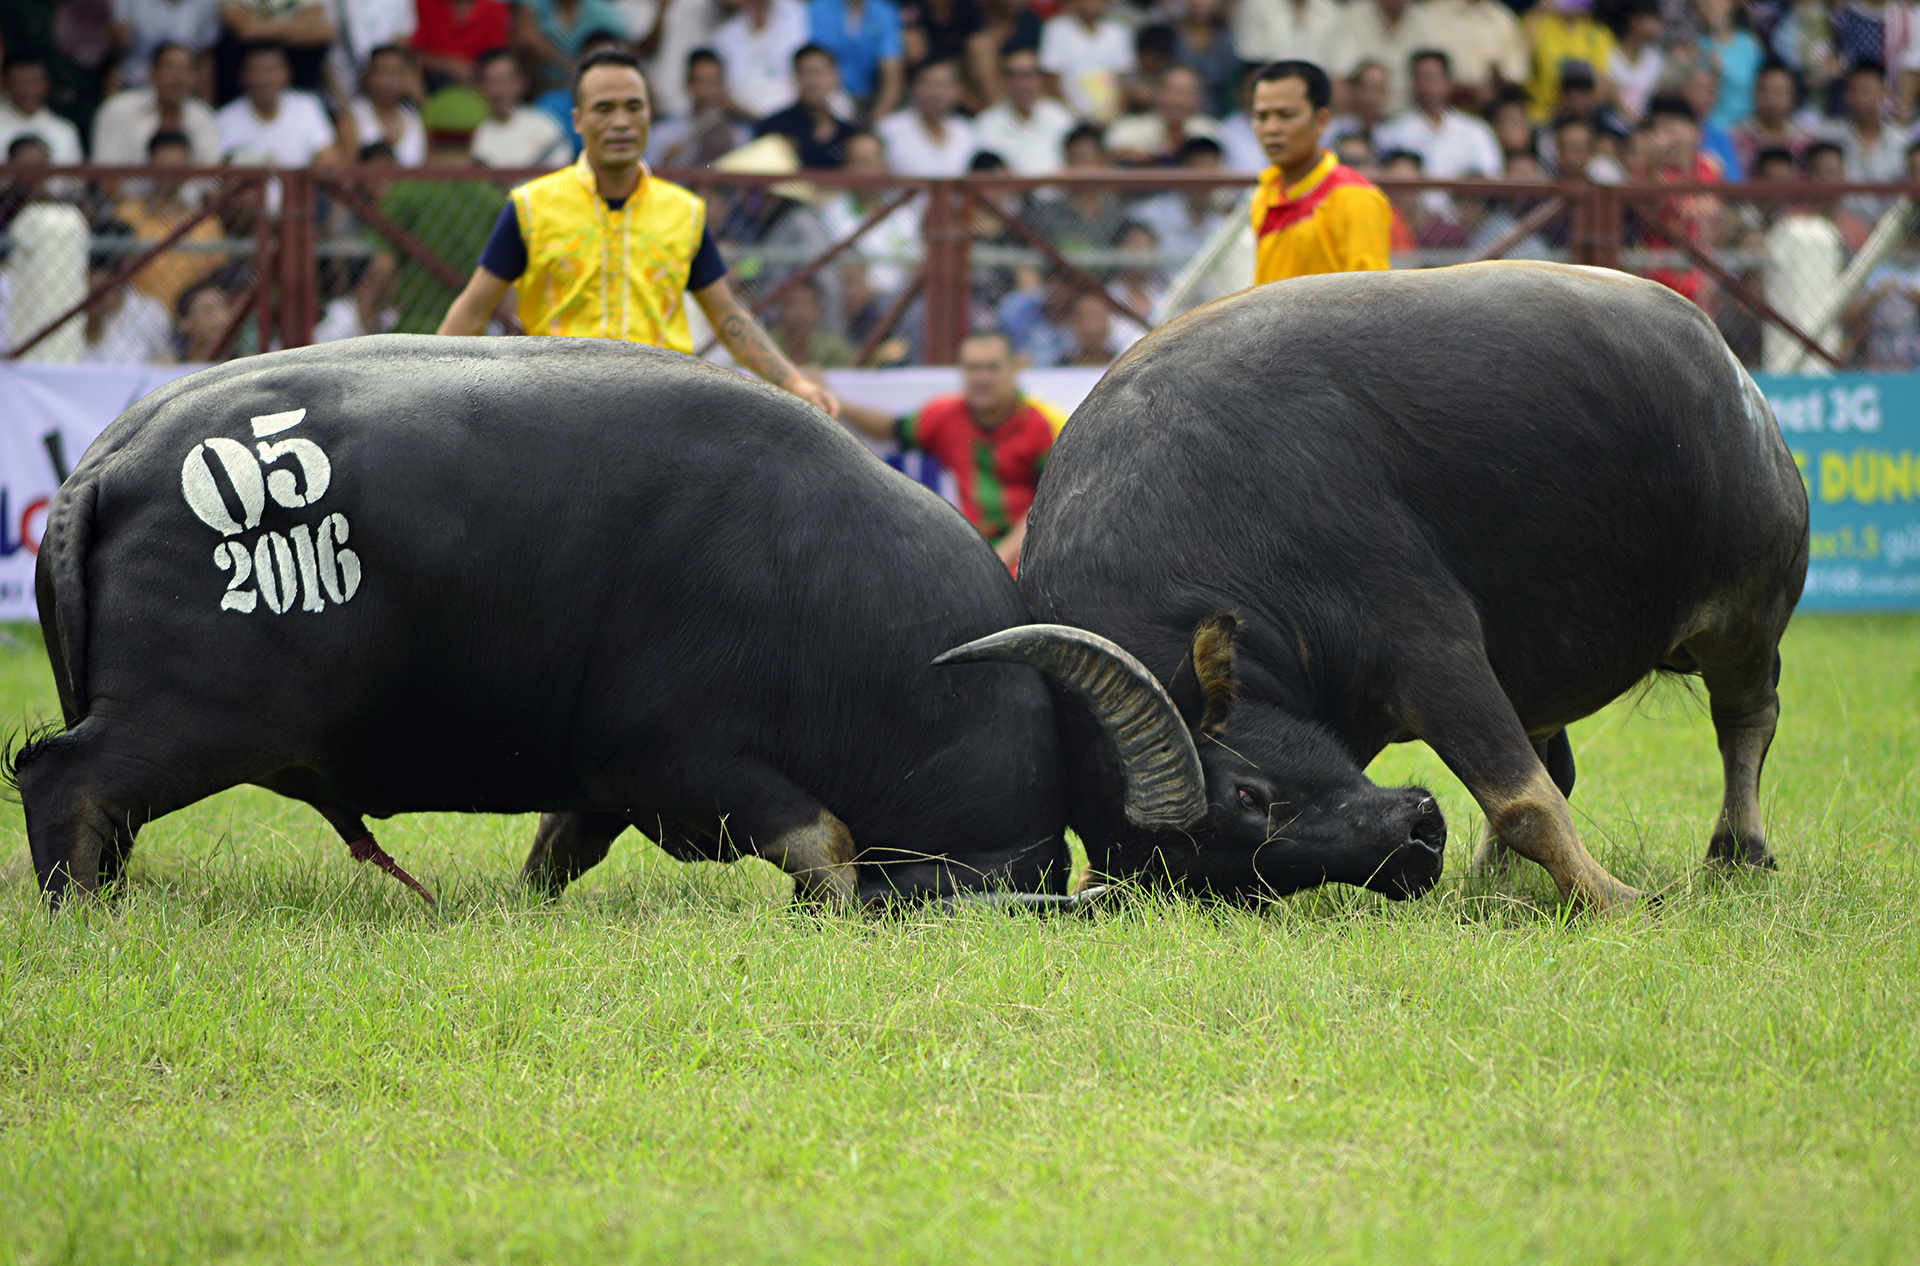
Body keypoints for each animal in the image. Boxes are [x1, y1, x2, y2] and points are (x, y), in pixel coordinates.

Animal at [7, 336, 1075, 910]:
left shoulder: (603, 778)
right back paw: (82, 918)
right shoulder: (682, 757)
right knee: (64, 779)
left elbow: (556, 852)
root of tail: (111, 459)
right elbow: (827, 841)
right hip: (192, 719)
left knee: (102, 813)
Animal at [944, 259, 1812, 910]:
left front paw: (1615, 899)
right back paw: (1489, 878)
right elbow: (1536, 791)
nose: (1418, 842)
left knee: (1747, 720)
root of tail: (1726, 364)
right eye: (1246, 887)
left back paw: (1739, 850)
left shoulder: (1430, 643)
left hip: (1745, 613)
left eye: (1247, 796)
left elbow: (1524, 800)